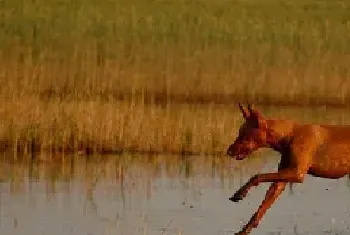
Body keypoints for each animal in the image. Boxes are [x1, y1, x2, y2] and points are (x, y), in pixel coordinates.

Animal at [227, 103, 350, 234]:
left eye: (243, 134)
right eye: (240, 133)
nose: (228, 151)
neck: (289, 135)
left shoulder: (296, 173)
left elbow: (257, 176)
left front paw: (240, 193)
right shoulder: (280, 181)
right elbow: (260, 210)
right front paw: (244, 230)